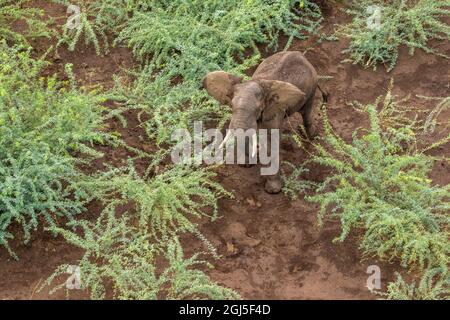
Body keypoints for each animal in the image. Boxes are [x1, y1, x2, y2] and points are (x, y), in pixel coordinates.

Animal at [202, 51, 326, 194]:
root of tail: (302, 55)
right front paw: (245, 165)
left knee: (305, 111)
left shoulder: (273, 111)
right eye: (231, 105)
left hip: (311, 87)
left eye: (258, 109)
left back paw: (310, 136)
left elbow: (271, 142)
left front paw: (273, 190)